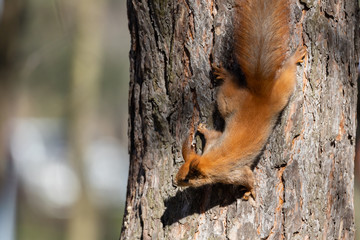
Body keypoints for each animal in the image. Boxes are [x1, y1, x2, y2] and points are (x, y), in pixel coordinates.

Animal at [176, 0, 306, 200]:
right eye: (180, 170)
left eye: (187, 179)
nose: (175, 181)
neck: (209, 161)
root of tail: (259, 93)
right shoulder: (213, 143)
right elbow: (213, 135)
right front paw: (203, 129)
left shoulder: (233, 173)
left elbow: (247, 177)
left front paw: (250, 191)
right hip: (230, 101)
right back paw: (224, 74)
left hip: (273, 95)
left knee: (287, 74)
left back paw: (293, 59)